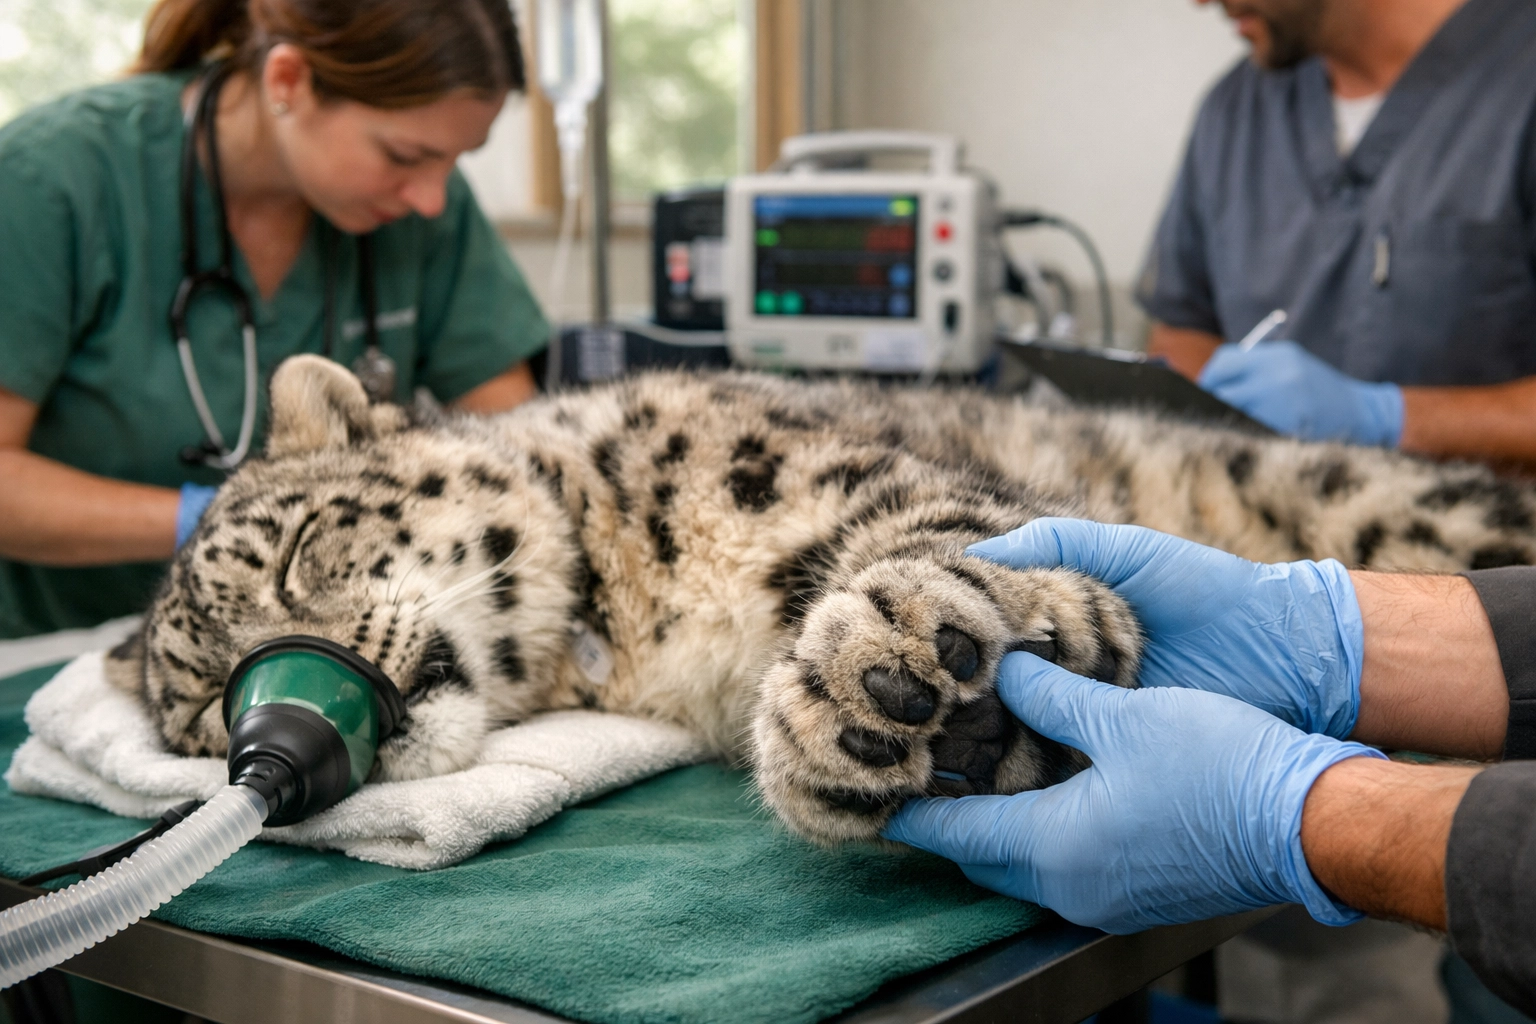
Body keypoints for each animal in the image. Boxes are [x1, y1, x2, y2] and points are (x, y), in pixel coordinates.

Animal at [105, 354, 1536, 844]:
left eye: (302, 550)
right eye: (211, 706)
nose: (288, 711)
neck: (634, 622)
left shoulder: (835, 473)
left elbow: (935, 529)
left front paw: (888, 673)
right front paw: (872, 742)